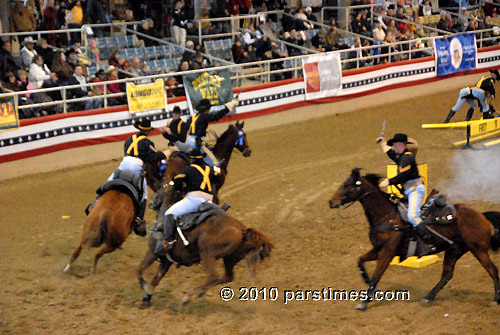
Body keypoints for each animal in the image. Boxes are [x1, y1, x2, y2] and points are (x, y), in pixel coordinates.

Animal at [136, 214, 274, 308]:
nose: (141, 229)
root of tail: (242, 229)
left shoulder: (152, 252)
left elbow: (139, 270)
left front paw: (144, 287)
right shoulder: (166, 261)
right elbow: (155, 279)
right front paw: (146, 299)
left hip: (207, 253)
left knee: (213, 276)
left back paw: (187, 297)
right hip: (230, 258)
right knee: (228, 277)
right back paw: (200, 292)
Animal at [328, 169, 500, 312]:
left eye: (347, 185)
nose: (331, 202)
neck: (387, 216)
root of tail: (482, 215)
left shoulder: (387, 252)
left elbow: (377, 275)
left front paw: (364, 302)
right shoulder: (378, 249)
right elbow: (360, 261)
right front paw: (371, 286)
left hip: (478, 249)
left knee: (492, 270)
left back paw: (495, 299)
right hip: (454, 250)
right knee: (447, 274)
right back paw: (428, 297)